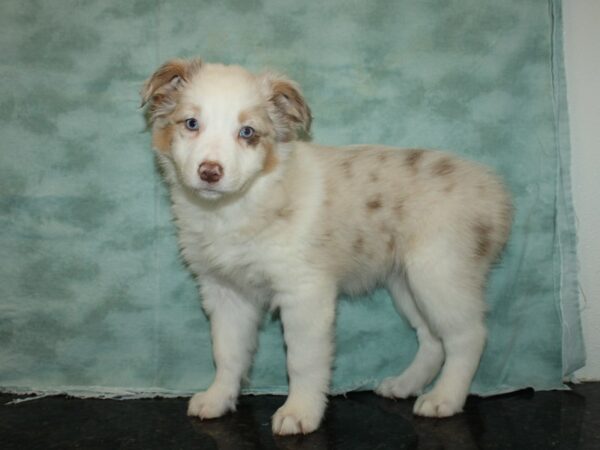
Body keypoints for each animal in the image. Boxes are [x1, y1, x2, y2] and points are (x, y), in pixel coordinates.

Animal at [141, 58, 510, 434]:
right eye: (191, 123)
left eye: (247, 132)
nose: (210, 172)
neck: (235, 207)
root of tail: (495, 193)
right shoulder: (225, 291)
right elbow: (227, 353)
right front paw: (217, 398)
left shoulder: (305, 293)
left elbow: (303, 361)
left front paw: (300, 412)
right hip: (406, 282)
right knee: (432, 338)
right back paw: (404, 385)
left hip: (440, 273)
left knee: (467, 337)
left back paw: (444, 398)